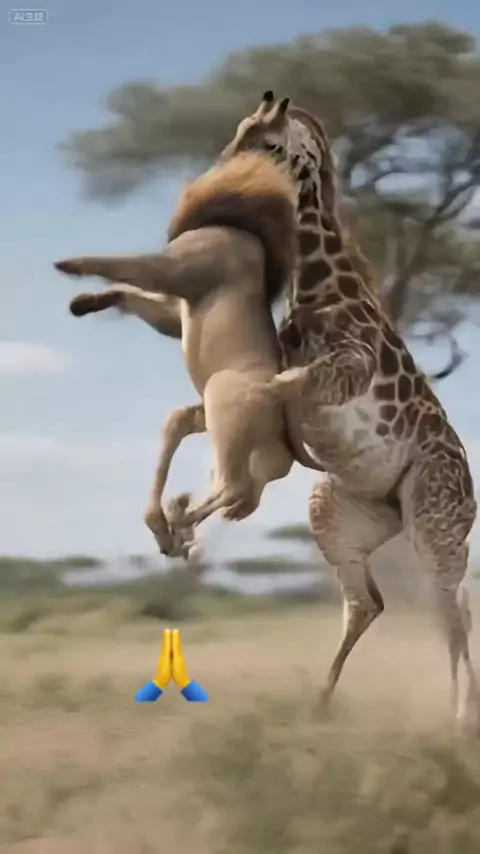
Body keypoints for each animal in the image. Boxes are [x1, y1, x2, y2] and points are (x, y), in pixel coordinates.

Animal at [219, 91, 479, 731]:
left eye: (265, 143)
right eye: (236, 132)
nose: (225, 180)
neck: (316, 286)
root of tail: (472, 496)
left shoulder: (346, 367)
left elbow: (279, 387)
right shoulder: (290, 361)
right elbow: (265, 391)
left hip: (433, 516)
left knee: (453, 606)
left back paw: (462, 718)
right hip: (341, 509)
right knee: (372, 602)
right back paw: (322, 701)